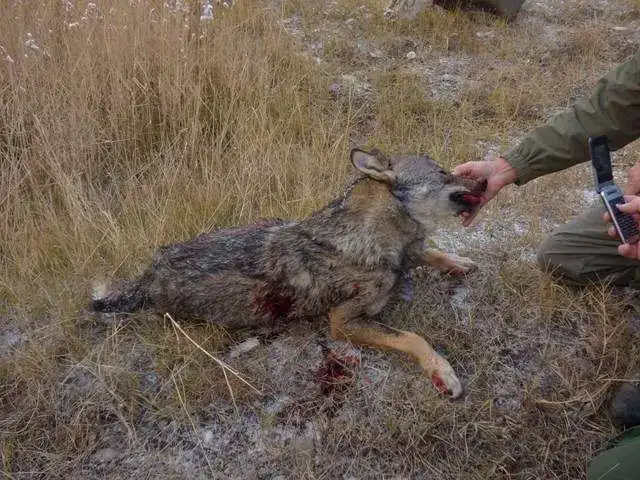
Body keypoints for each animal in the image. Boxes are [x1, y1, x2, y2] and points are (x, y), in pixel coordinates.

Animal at [91, 148, 486, 398]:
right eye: (441, 171)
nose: (484, 180)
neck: (376, 235)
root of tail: (149, 275)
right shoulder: (343, 321)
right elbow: (414, 338)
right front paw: (443, 373)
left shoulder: (410, 254)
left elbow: (430, 252)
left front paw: (457, 262)